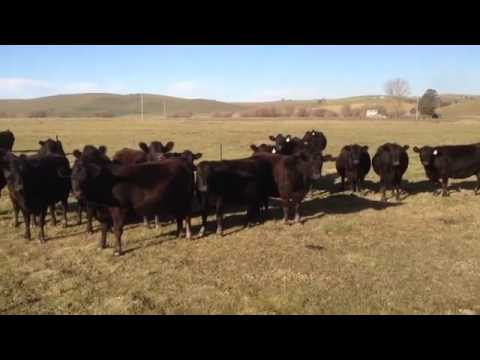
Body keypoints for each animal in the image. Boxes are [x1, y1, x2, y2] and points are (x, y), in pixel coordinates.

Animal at [70, 150, 200, 255]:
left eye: (86, 178)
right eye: (72, 177)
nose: (77, 193)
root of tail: (182, 162)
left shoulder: (120, 209)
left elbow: (117, 230)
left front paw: (117, 251)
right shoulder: (104, 212)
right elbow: (104, 229)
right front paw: (101, 245)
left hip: (186, 199)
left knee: (187, 216)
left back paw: (188, 235)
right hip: (175, 201)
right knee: (179, 217)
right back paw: (179, 234)